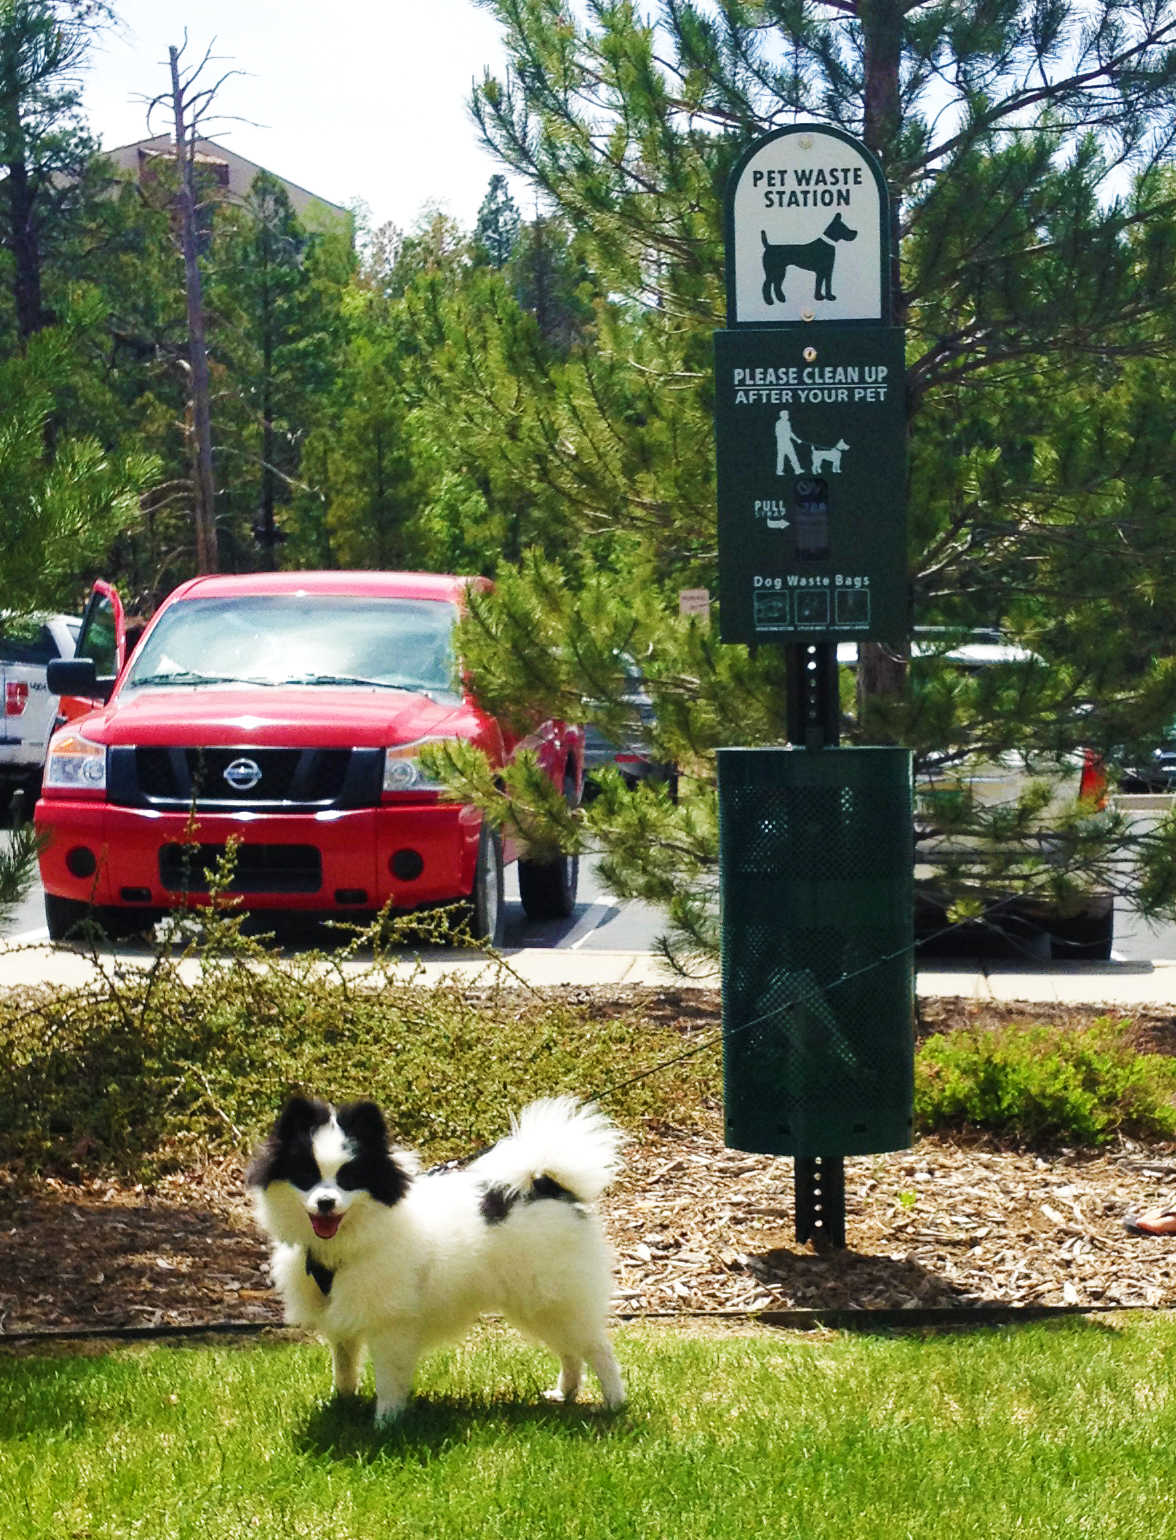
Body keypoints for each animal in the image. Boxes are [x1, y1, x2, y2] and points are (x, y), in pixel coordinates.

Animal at [247, 1094, 625, 1422]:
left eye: (349, 1178)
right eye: (307, 1176)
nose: (325, 1203)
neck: (350, 1238)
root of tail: (547, 1183)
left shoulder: (392, 1324)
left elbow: (388, 1380)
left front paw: (385, 1424)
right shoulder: (342, 1319)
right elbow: (344, 1367)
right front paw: (343, 1405)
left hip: (555, 1299)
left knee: (598, 1349)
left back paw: (614, 1403)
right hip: (540, 1305)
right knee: (570, 1351)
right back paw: (566, 1394)